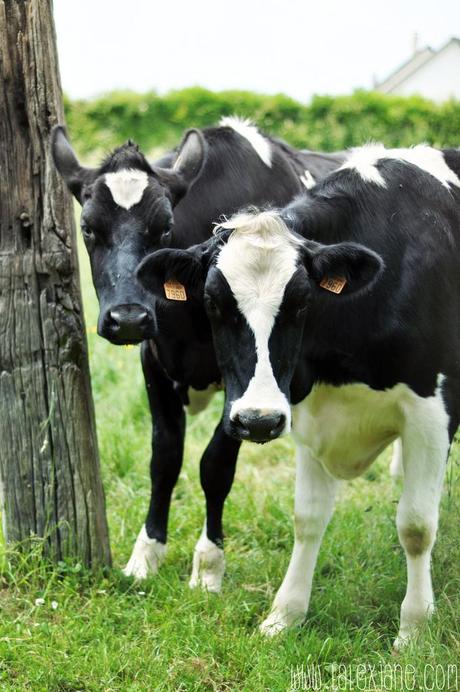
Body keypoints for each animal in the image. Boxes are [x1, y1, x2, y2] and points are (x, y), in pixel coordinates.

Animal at [51, 117, 344, 590]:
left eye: (165, 229)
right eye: (88, 229)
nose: (129, 318)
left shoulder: (245, 381)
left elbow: (215, 466)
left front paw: (208, 565)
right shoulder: (154, 362)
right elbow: (164, 459)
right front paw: (146, 555)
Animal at [136, 144, 460, 648]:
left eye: (302, 302)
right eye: (212, 303)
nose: (257, 420)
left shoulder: (433, 411)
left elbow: (416, 526)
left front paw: (414, 630)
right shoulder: (309, 412)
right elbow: (307, 519)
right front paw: (284, 615)